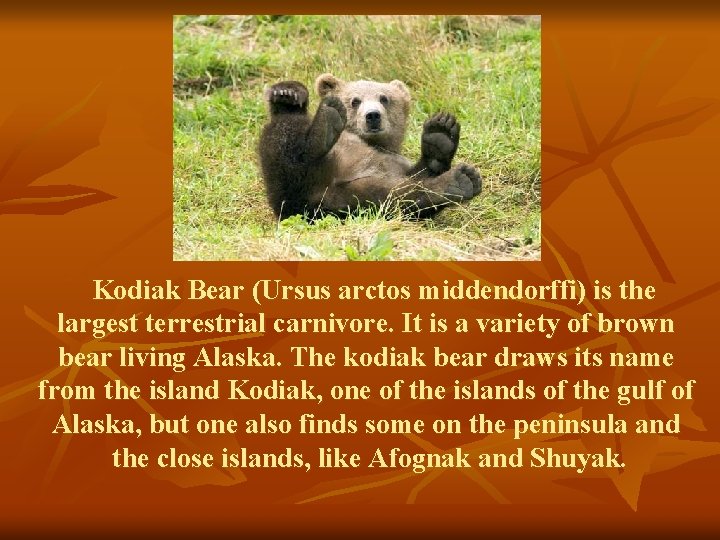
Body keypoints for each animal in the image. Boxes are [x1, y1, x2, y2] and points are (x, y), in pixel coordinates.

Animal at [258, 73, 481, 220]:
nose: (372, 115)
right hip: (291, 187)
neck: (373, 143)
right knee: (284, 137)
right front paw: (287, 92)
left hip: (352, 198)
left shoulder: (394, 162)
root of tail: (317, 195)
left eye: (384, 98)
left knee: (396, 197)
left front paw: (440, 135)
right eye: (355, 101)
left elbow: (419, 176)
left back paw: (460, 179)